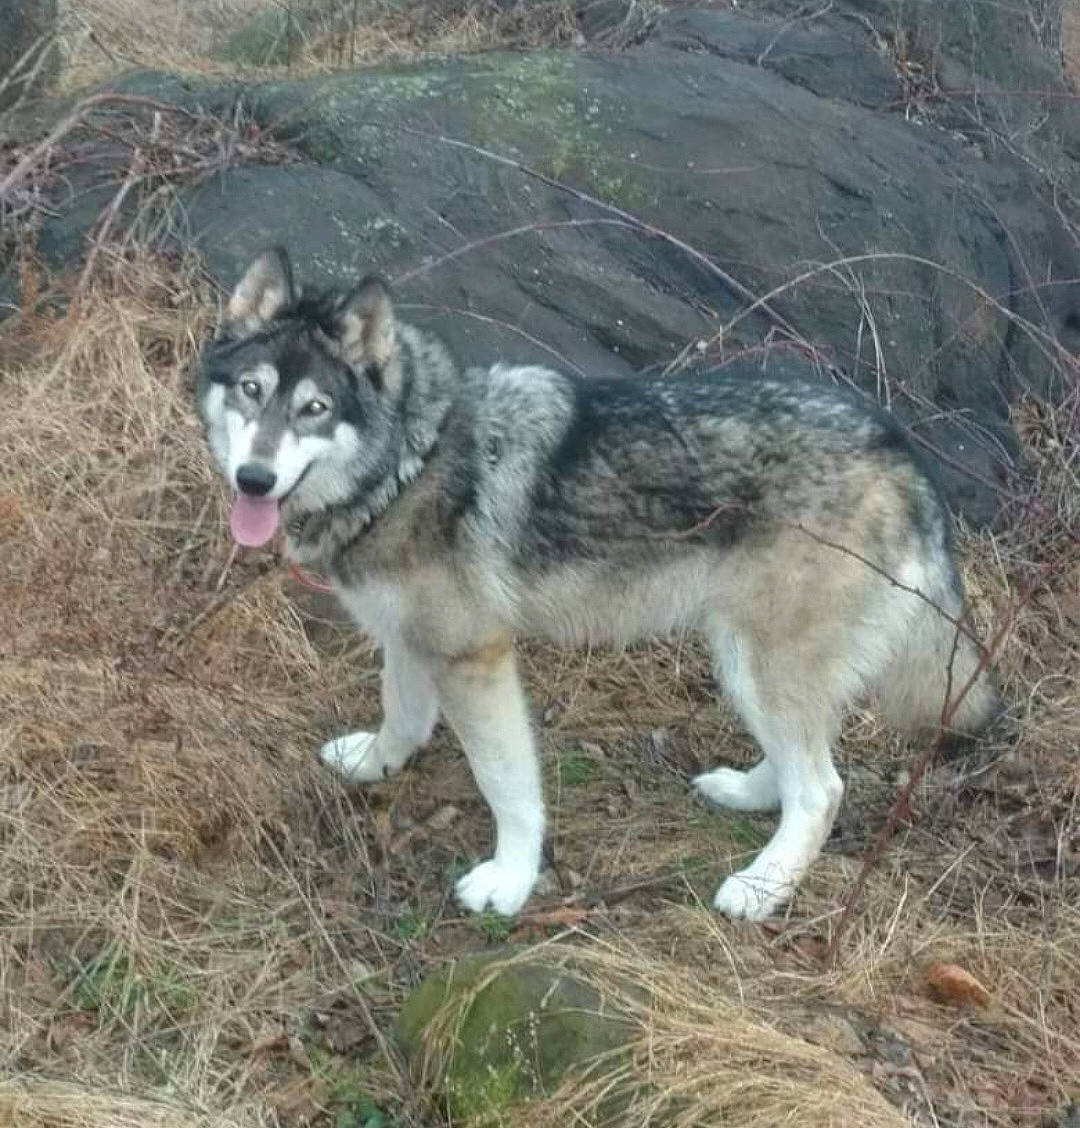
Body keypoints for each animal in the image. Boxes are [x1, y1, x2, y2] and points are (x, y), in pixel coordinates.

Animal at [197, 247, 1000, 921]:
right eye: (250, 391)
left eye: (314, 410)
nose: (254, 479)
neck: (407, 462)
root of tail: (902, 448)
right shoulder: (413, 638)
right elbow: (402, 712)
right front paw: (375, 764)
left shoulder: (476, 661)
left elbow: (508, 786)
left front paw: (510, 881)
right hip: (741, 656)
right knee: (802, 764)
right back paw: (744, 793)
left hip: (761, 663)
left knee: (824, 790)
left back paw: (761, 887)